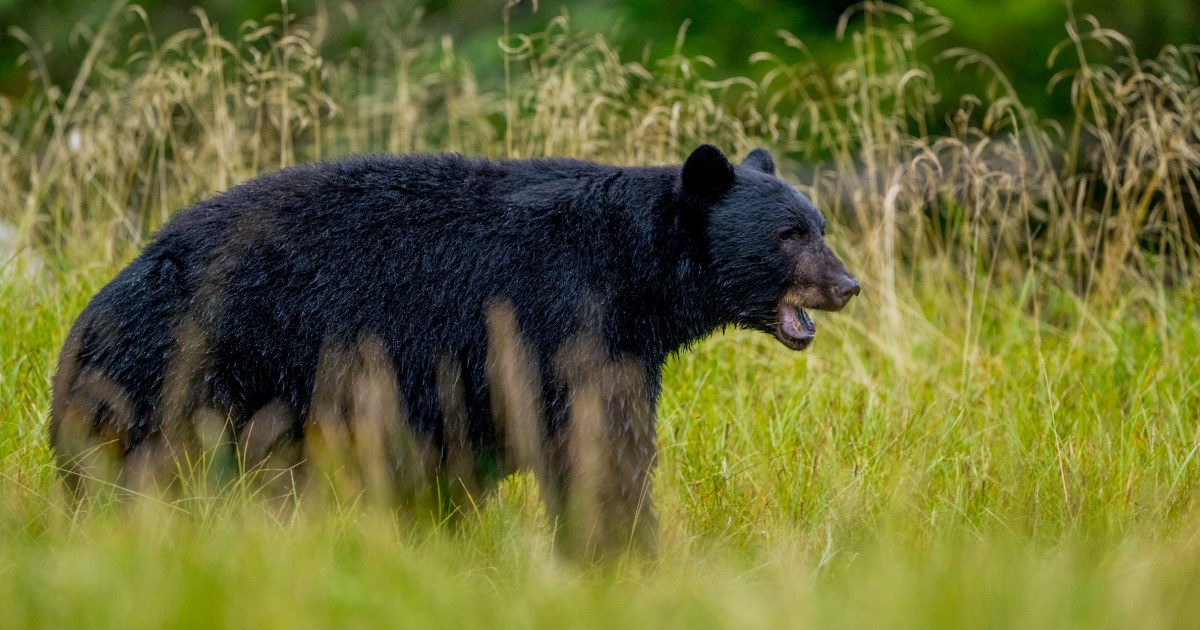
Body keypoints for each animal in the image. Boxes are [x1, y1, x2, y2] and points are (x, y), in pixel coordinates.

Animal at [50, 144, 859, 557]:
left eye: (820, 225)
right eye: (789, 235)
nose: (847, 285)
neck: (633, 276)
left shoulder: (604, 346)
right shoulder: (552, 322)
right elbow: (597, 444)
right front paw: (621, 550)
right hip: (184, 376)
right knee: (152, 470)